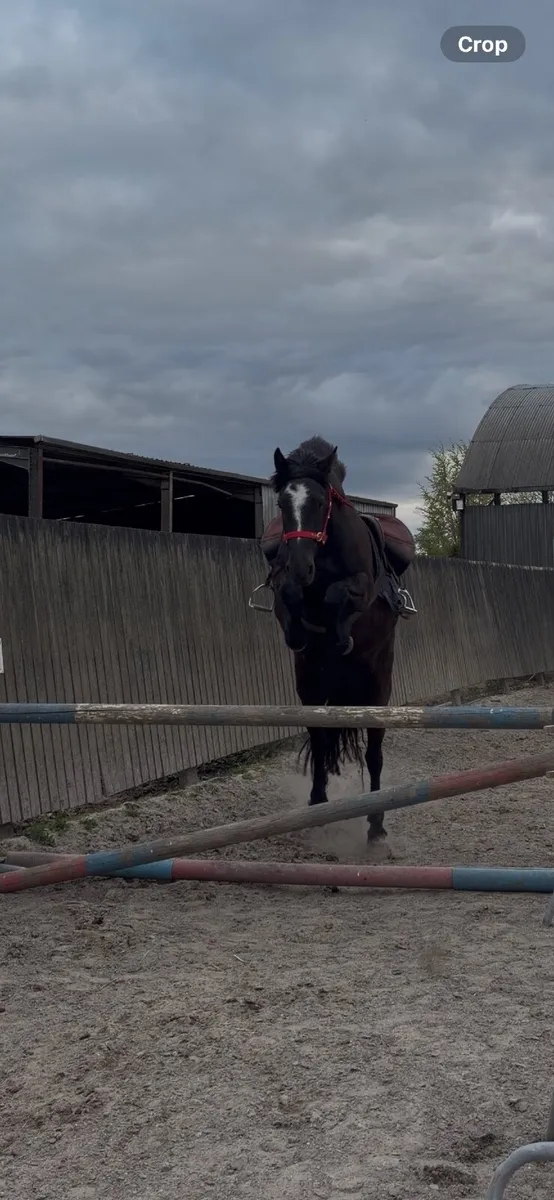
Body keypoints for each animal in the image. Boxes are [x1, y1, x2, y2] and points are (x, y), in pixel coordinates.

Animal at [255, 435, 416, 842]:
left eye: (319, 502)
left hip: (377, 688)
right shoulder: (283, 591)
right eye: (283, 503)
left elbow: (338, 594)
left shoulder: (360, 588)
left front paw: (340, 636)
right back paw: (318, 803)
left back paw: (375, 824)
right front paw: (300, 631)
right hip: (311, 688)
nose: (301, 566)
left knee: (374, 752)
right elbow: (290, 597)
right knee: (319, 738)